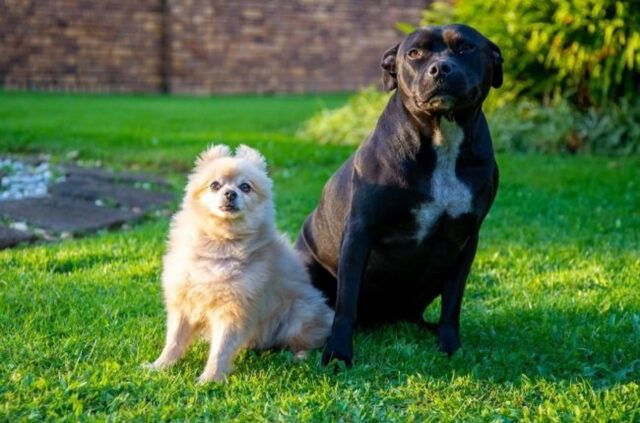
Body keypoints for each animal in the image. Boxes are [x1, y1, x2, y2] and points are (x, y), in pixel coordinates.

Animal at [147, 146, 332, 384]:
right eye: (215, 185)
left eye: (245, 187)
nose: (230, 193)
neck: (220, 242)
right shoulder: (184, 304)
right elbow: (174, 341)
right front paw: (160, 366)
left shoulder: (233, 310)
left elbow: (220, 350)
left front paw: (210, 378)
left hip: (299, 314)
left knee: (313, 339)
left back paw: (300, 355)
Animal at [296, 24, 504, 366]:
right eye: (414, 53)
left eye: (466, 48)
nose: (440, 68)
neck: (442, 138)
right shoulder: (360, 231)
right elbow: (346, 302)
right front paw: (338, 353)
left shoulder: (466, 240)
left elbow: (453, 303)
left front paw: (451, 347)